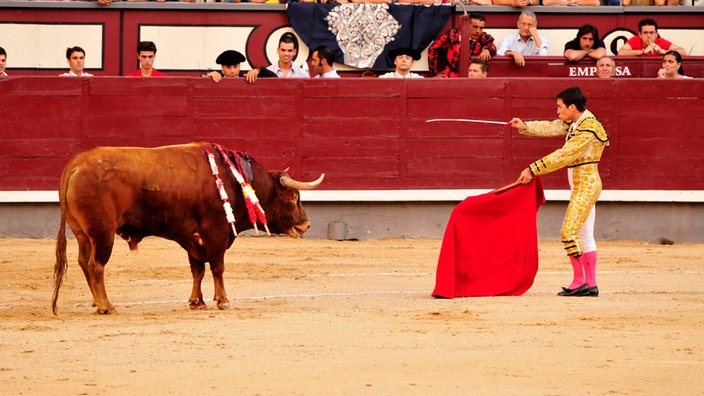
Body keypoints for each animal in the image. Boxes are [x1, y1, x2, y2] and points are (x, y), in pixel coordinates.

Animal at [53, 141, 324, 314]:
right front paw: (223, 301)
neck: (235, 181)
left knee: (83, 262)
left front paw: (197, 302)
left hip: (82, 234)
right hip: (102, 232)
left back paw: (96, 303)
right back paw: (106, 305)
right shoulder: (216, 232)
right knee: (96, 265)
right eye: (292, 198)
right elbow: (217, 267)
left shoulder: (192, 237)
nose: (307, 224)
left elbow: (197, 269)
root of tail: (77, 163)